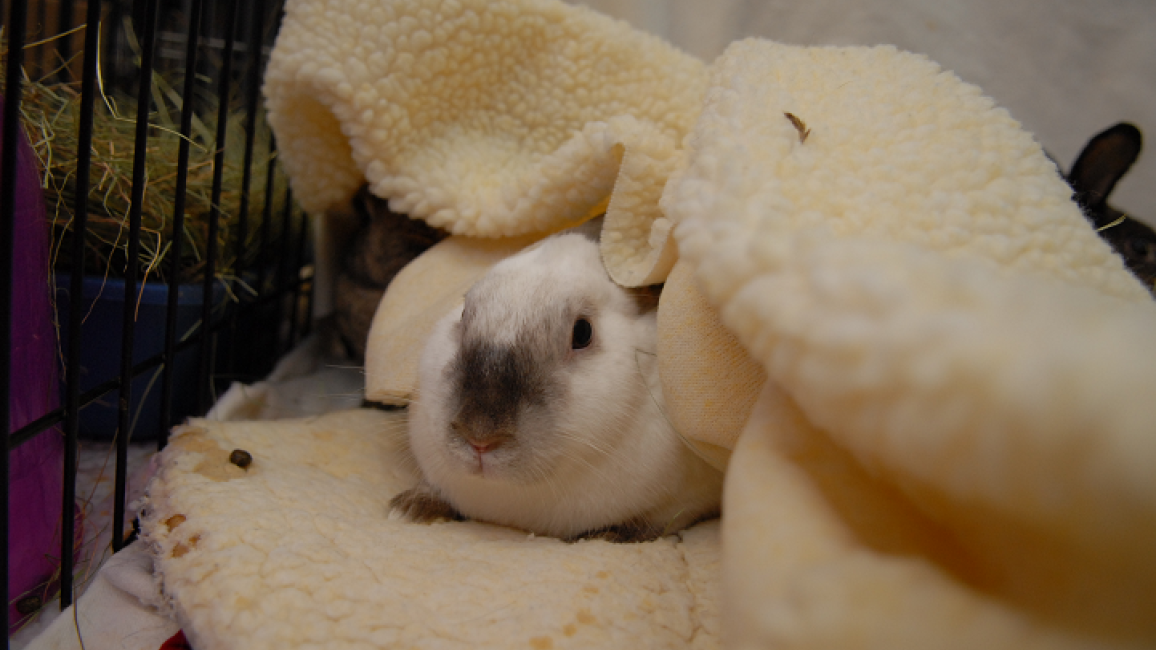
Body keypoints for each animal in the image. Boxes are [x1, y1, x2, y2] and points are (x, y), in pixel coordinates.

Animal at [389, 231, 723, 542]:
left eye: (583, 332)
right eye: (461, 316)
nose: (479, 436)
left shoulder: (685, 497)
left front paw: (607, 535)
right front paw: (408, 508)